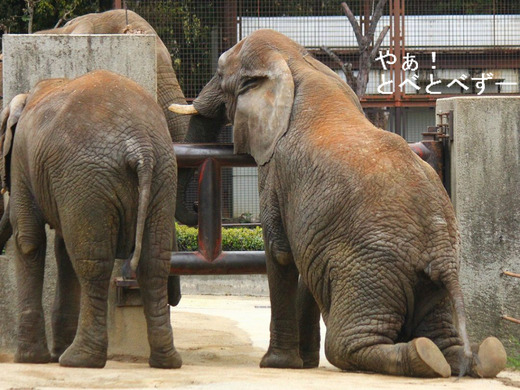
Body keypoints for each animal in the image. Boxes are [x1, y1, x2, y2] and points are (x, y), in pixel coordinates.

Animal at [0, 69, 182, 368]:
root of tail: (140, 145)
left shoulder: (21, 162)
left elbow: (28, 240)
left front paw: (29, 359)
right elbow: (62, 248)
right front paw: (48, 355)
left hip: (89, 176)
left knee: (93, 263)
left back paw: (78, 359)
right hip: (160, 175)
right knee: (153, 263)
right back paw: (165, 361)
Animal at [170, 29, 508, 378]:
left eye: (220, 71)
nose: (196, 210)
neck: (296, 61)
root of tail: (441, 253)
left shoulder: (276, 168)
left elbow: (280, 252)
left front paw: (277, 364)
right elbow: (305, 261)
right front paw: (304, 364)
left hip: (370, 269)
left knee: (345, 345)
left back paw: (423, 355)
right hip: (426, 280)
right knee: (445, 340)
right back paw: (471, 356)